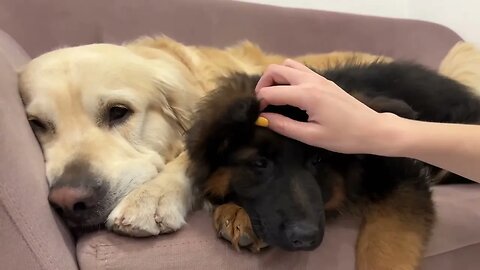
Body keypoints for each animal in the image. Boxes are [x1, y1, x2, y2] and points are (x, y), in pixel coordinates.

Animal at [186, 61, 480, 270]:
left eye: (318, 160)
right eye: (260, 163)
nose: (305, 237)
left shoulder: (403, 178)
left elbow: (386, 246)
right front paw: (237, 212)